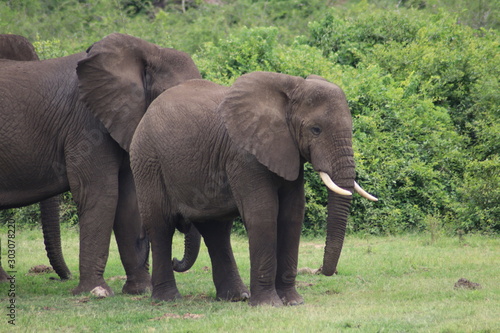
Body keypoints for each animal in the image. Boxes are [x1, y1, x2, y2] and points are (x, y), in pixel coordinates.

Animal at [117, 71, 376, 304]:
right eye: (316, 130)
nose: (323, 271)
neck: (290, 90)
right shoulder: (244, 156)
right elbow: (263, 215)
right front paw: (269, 304)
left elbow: (292, 216)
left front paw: (293, 302)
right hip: (147, 161)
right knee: (161, 225)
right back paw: (168, 300)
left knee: (216, 230)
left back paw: (236, 297)